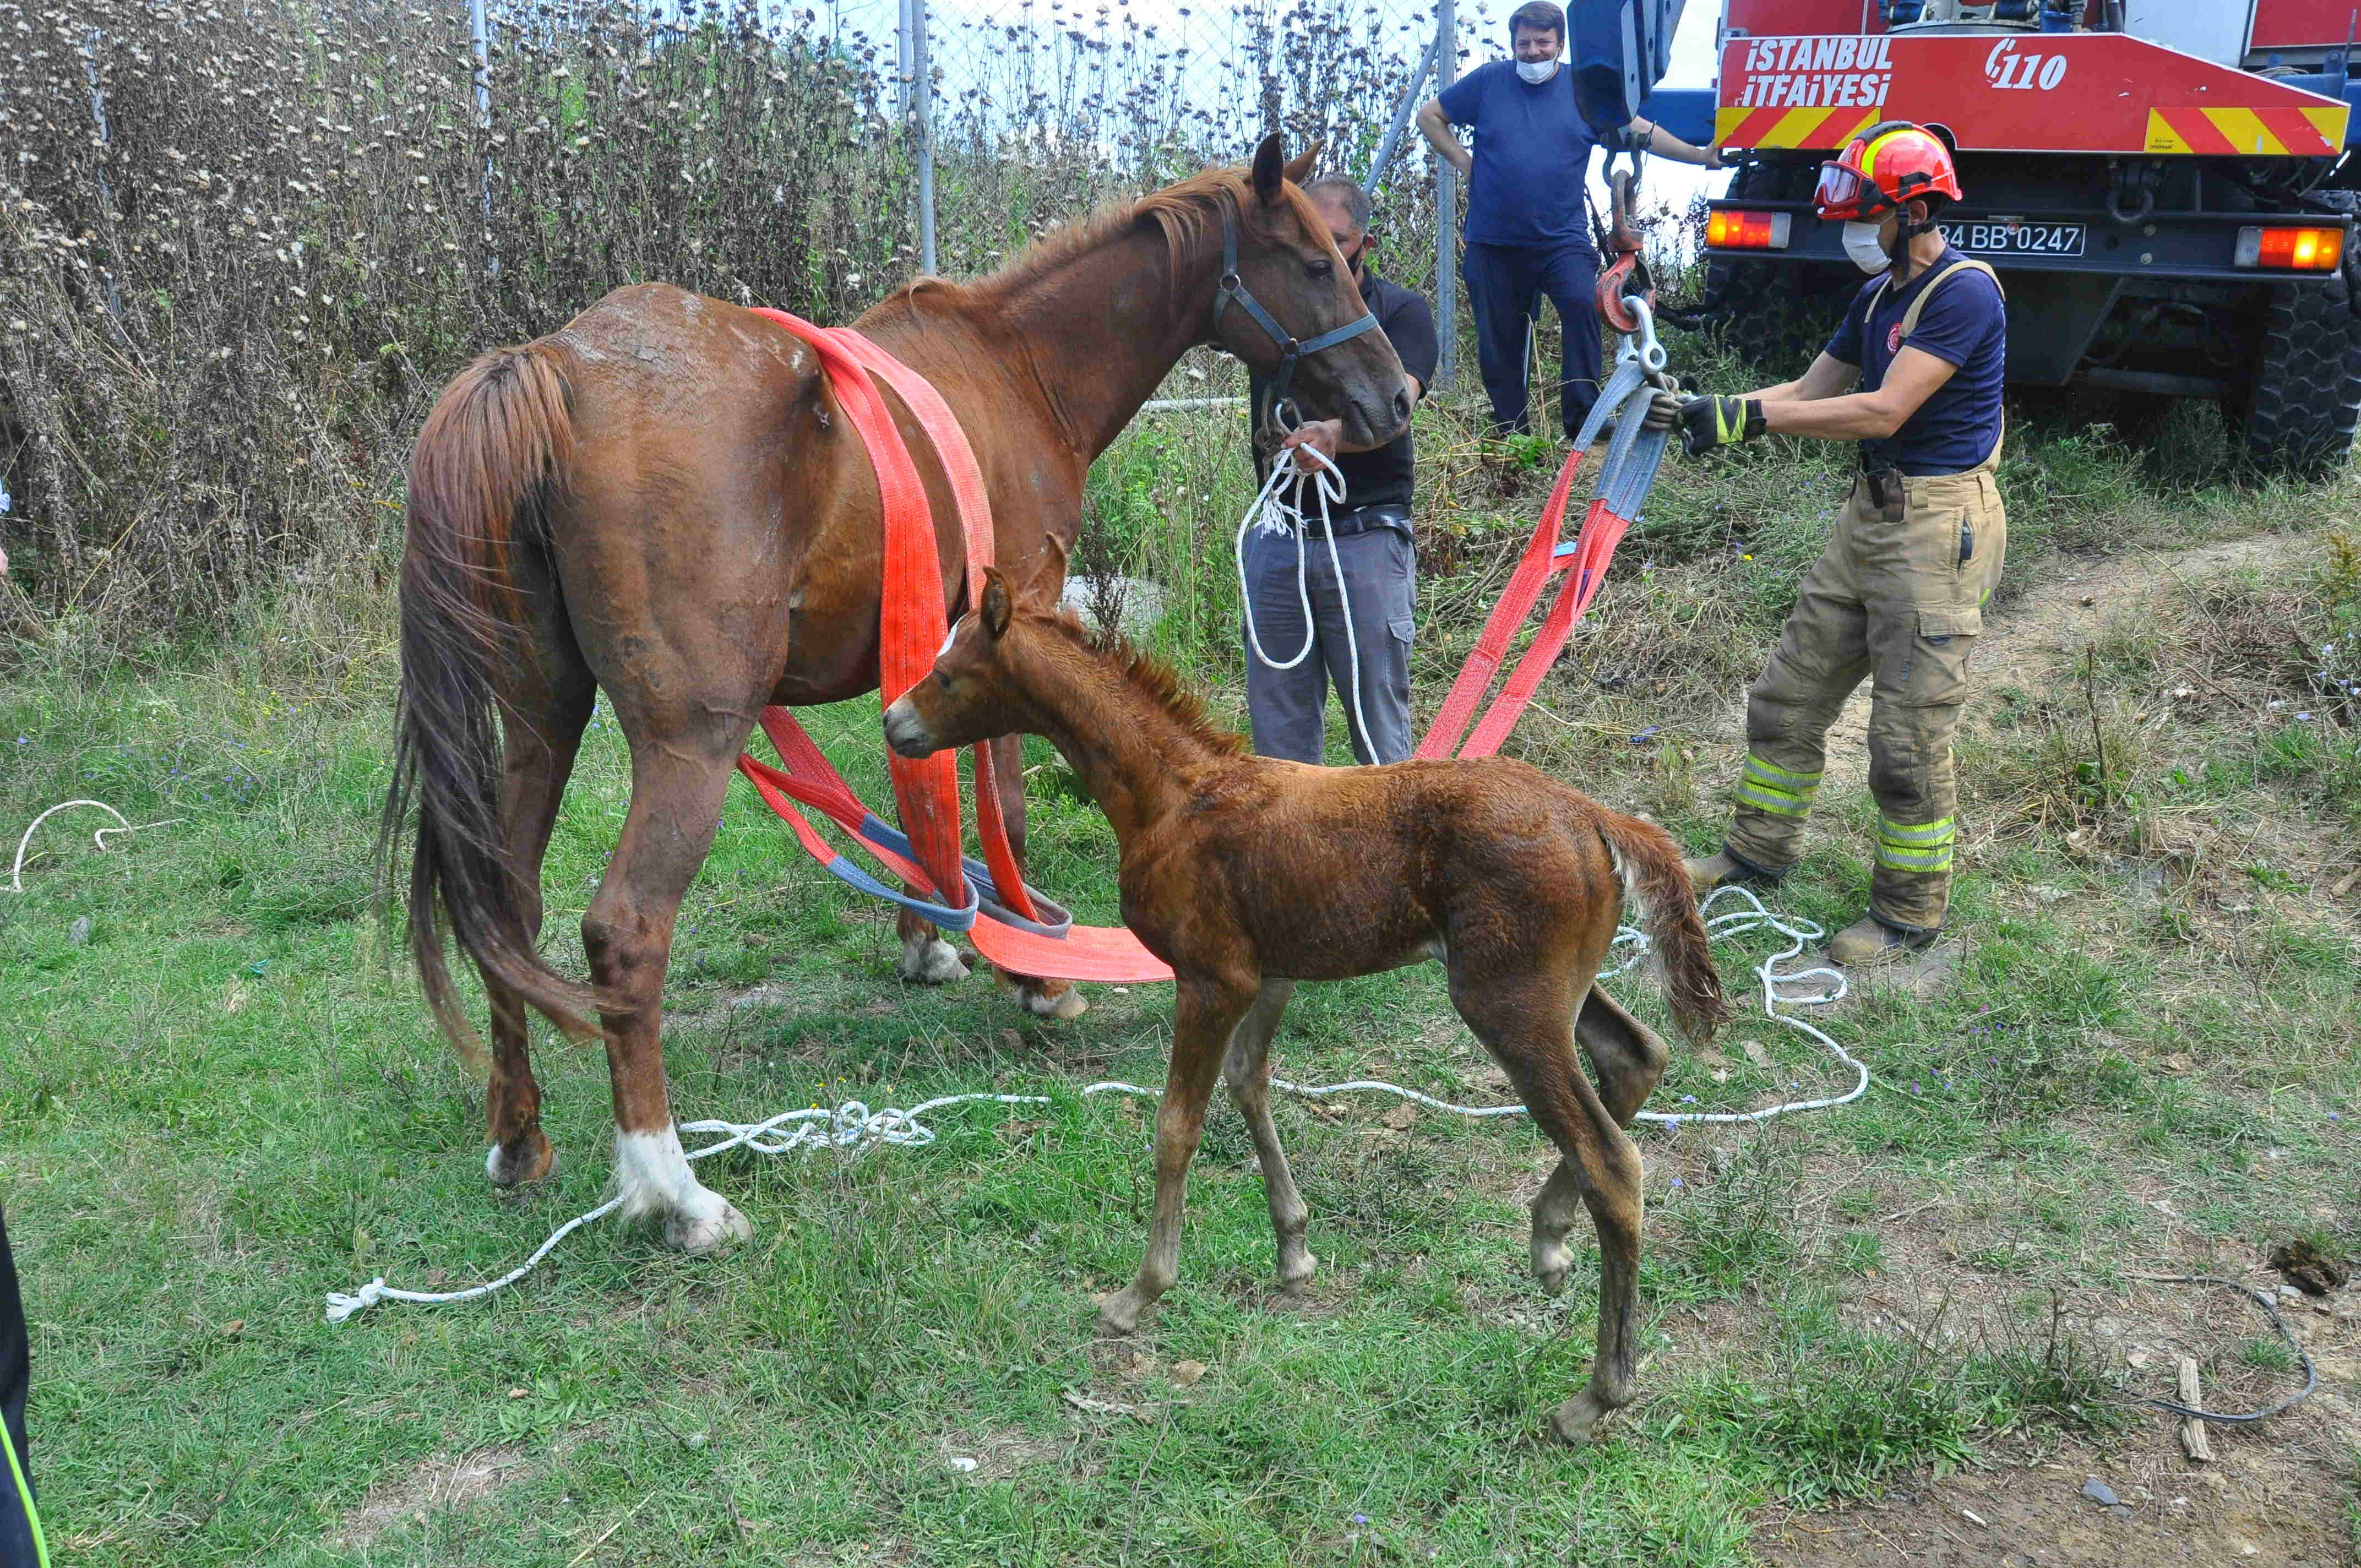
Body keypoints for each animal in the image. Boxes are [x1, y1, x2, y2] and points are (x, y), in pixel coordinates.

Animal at [387, 141, 1407, 1256]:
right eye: (1314, 264)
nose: (1397, 396)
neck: (1019, 363)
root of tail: (559, 369)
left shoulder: (925, 657)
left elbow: (923, 800)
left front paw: (930, 942)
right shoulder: (1015, 618)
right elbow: (1001, 809)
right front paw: (1035, 971)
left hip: (542, 723)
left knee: (507, 905)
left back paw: (517, 1136)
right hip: (690, 745)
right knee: (624, 934)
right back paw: (676, 1192)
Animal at [888, 569, 1737, 1435]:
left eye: (948, 675)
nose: (894, 723)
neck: (1172, 795)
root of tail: (1598, 816)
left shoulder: (1210, 978)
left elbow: (1176, 1126)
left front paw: (1141, 1291)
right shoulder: (1270, 972)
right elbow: (1249, 1083)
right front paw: (1294, 1250)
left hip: (1506, 1001)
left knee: (1612, 1160)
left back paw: (1598, 1393)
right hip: (1546, 988)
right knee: (1636, 1058)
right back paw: (1549, 1238)